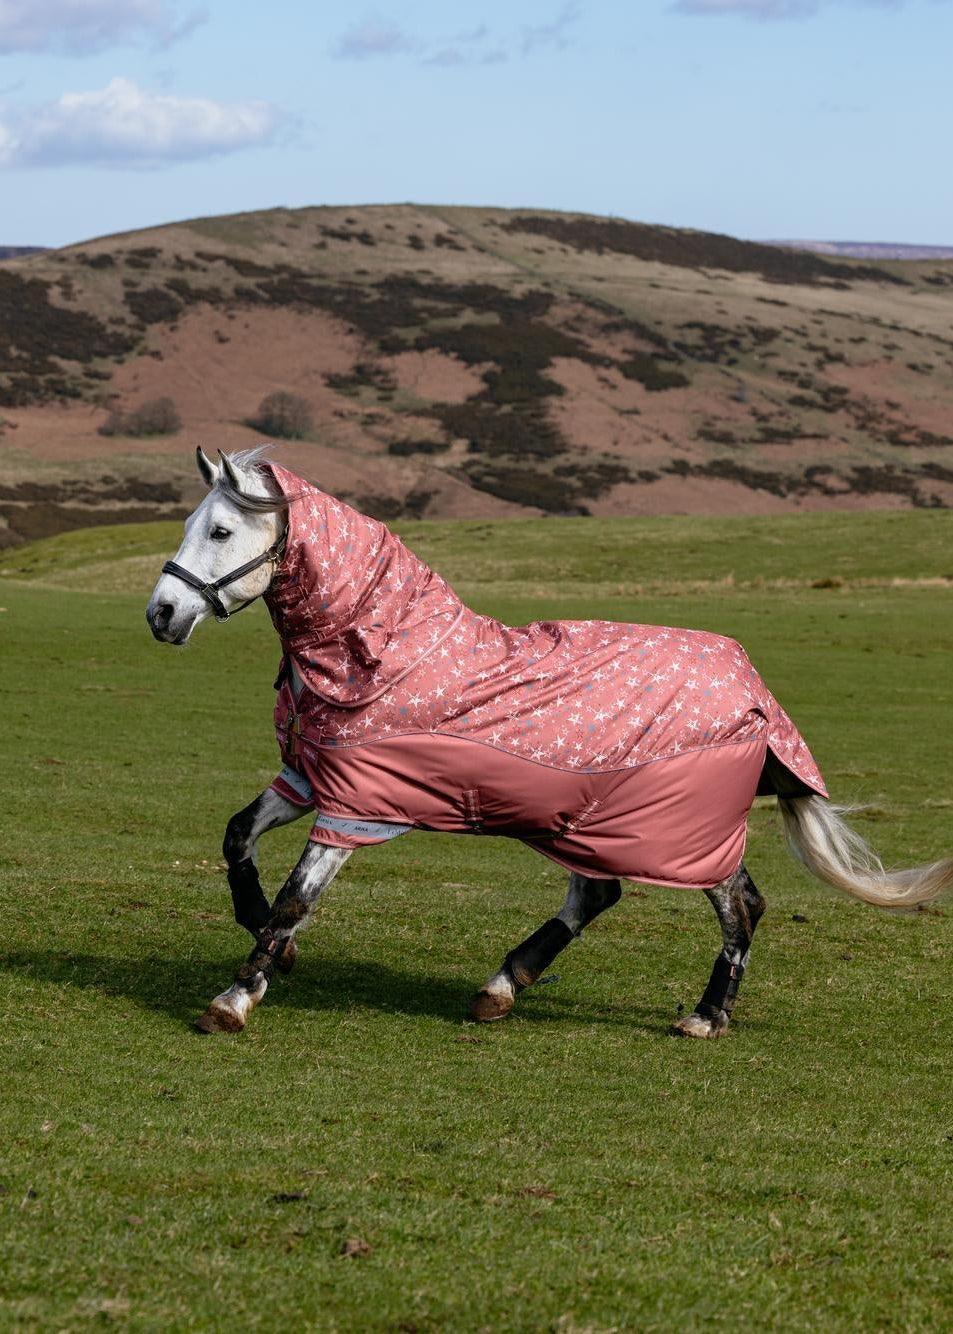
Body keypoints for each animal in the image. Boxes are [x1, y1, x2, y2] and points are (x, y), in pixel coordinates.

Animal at [146, 447, 952, 1037]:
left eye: (220, 531)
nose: (161, 613)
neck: (386, 652)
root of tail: (751, 684)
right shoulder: (313, 780)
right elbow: (238, 838)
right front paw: (270, 947)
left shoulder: (358, 809)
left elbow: (294, 898)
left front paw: (236, 997)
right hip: (598, 823)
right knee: (600, 892)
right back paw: (502, 988)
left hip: (686, 831)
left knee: (739, 906)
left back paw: (703, 1016)